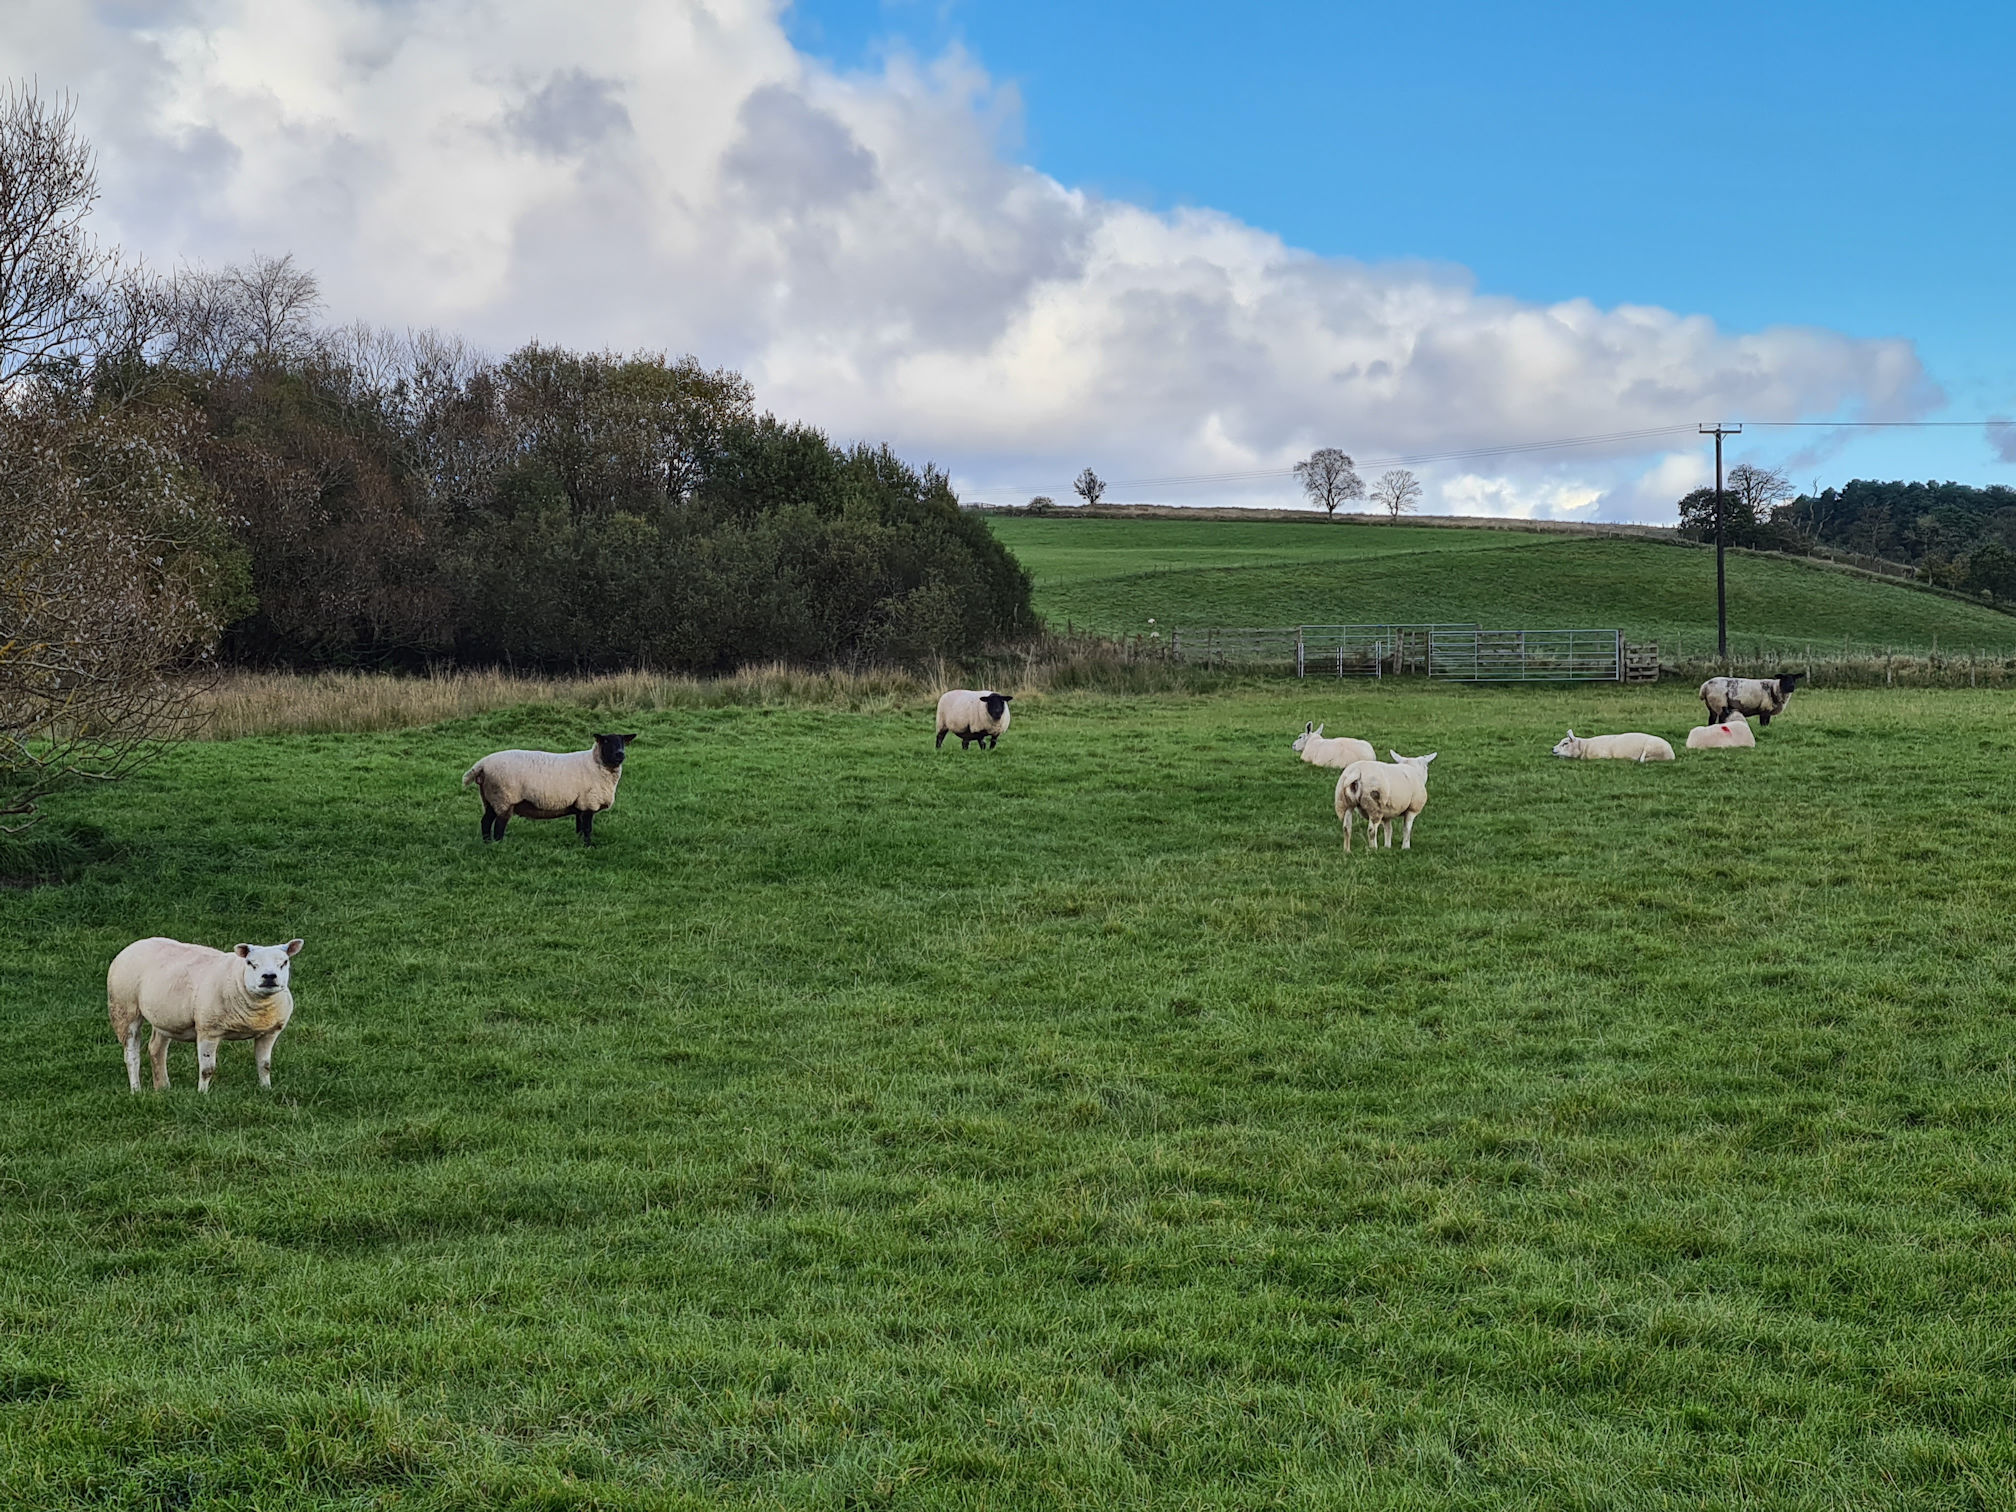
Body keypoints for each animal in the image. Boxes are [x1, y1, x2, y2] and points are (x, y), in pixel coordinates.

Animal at [107, 937, 303, 1093]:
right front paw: (202, 1094)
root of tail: (135, 944)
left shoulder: (269, 1033)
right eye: (250, 963)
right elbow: (207, 1069)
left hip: (165, 1017)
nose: (269, 976)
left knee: (156, 1048)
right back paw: (136, 1090)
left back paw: (163, 1087)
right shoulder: (208, 1030)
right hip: (124, 1008)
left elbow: (265, 1065)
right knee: (131, 1055)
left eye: (284, 962)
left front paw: (266, 1089)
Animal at [463, 733, 636, 845]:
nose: (620, 754)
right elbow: (587, 828)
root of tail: (482, 765)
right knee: (499, 825)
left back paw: (487, 843)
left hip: (489, 798)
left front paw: (579, 843)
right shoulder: (588, 803)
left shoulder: (580, 804)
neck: (596, 764)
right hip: (503, 797)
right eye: (606, 741)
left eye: (622, 741)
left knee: (485, 821)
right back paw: (499, 845)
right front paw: (588, 846)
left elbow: (580, 826)